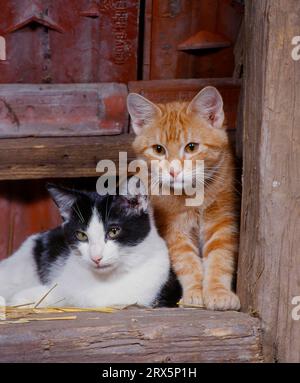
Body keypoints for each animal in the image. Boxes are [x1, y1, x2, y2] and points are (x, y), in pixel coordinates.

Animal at [127, 88, 240, 312]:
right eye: (158, 149)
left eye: (191, 147)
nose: (173, 171)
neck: (192, 197)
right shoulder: (174, 229)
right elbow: (187, 262)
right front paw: (194, 293)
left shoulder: (221, 222)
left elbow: (220, 258)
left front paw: (218, 292)